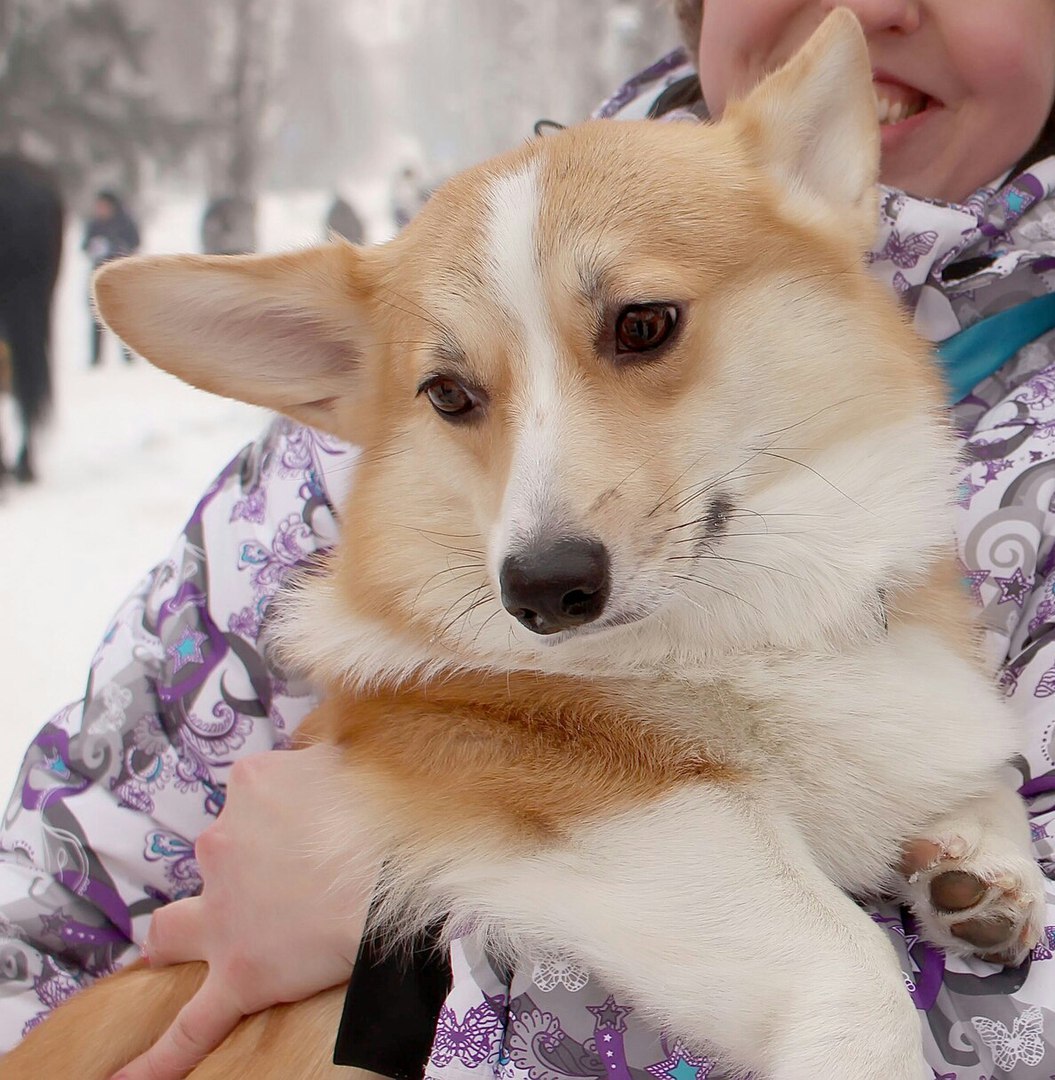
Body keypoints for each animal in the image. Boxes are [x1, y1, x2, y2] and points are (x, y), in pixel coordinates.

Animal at [6, 10, 1045, 1080]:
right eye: (446, 393)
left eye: (643, 324)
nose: (543, 590)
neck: (745, 628)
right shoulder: (579, 799)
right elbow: (838, 950)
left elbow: (982, 784)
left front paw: (975, 869)